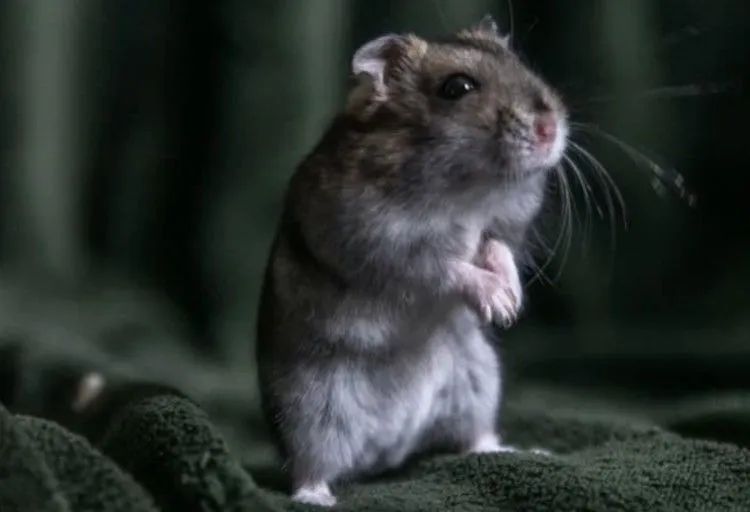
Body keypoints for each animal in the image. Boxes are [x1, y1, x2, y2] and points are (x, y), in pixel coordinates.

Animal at [256, 16, 568, 507]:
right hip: (310, 410)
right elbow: (448, 267)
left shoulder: (500, 227)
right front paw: (499, 303)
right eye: (457, 87)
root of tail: (388, 451)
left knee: (476, 438)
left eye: (521, 64)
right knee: (310, 466)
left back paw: (525, 452)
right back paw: (317, 498)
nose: (550, 130)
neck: (469, 189)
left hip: (478, 381)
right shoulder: (385, 244)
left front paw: (511, 304)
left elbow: (496, 248)